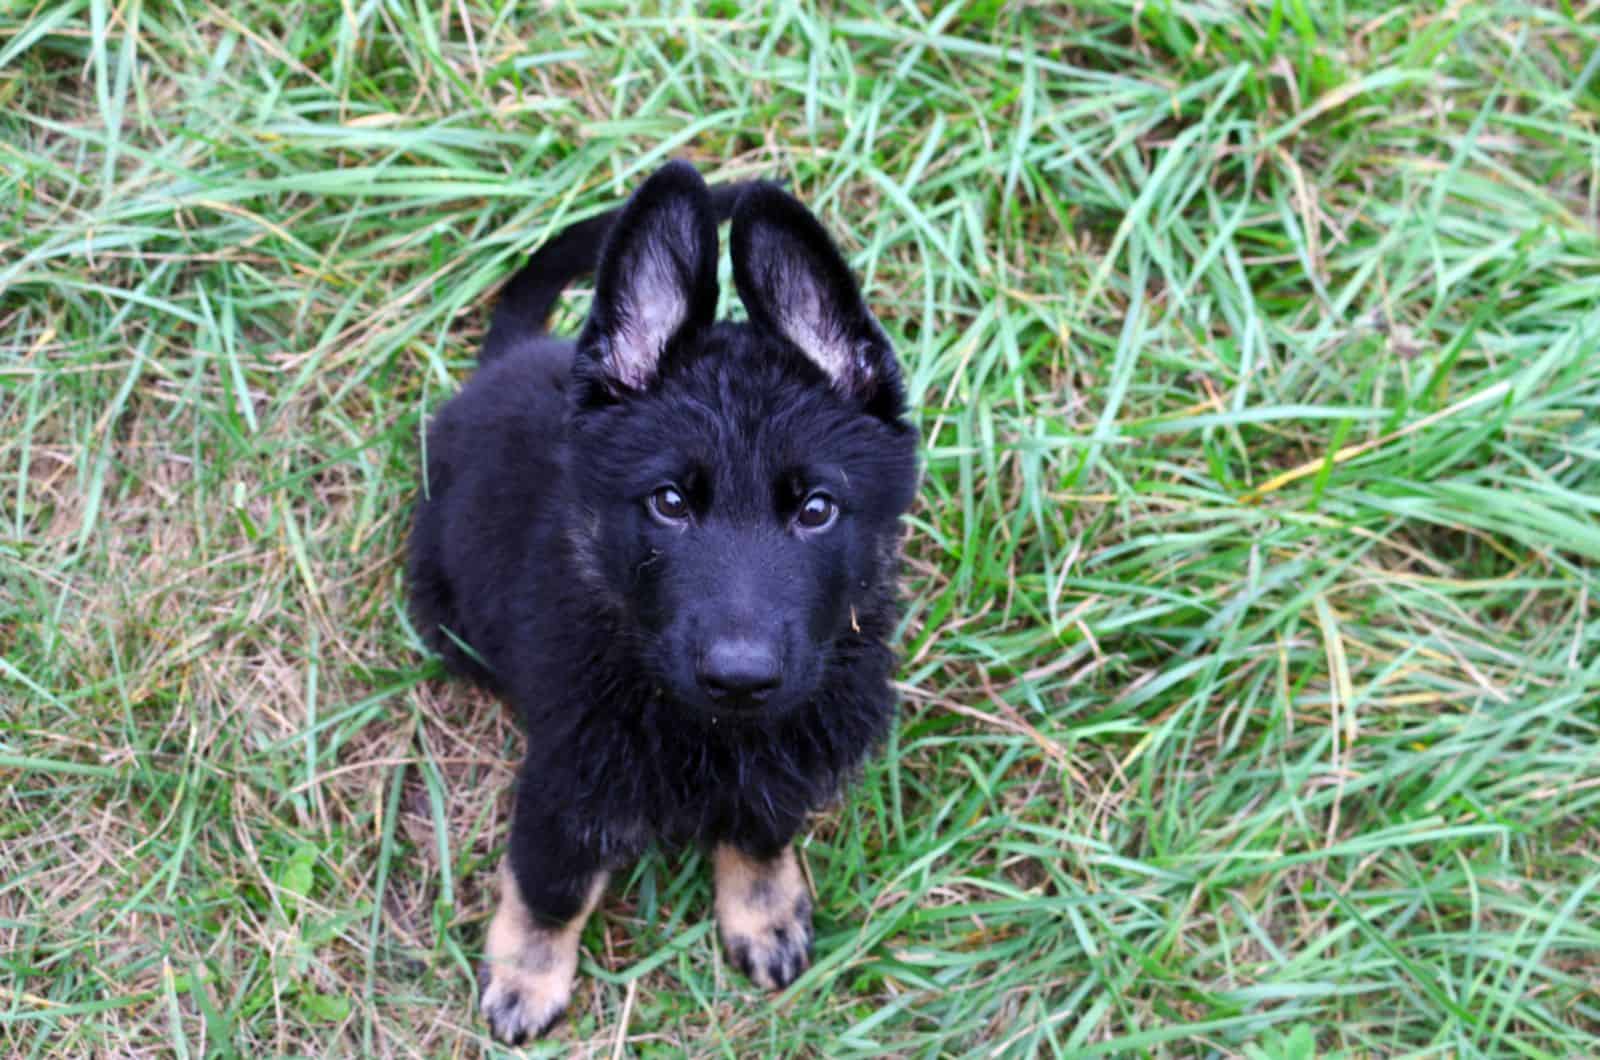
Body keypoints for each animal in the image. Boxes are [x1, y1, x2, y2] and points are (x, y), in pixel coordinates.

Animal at [406, 161, 921, 1043]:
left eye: (816, 509)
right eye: (670, 503)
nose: (740, 678)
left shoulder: (779, 767)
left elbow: (760, 838)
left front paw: (764, 914)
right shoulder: (566, 784)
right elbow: (551, 889)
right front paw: (526, 977)